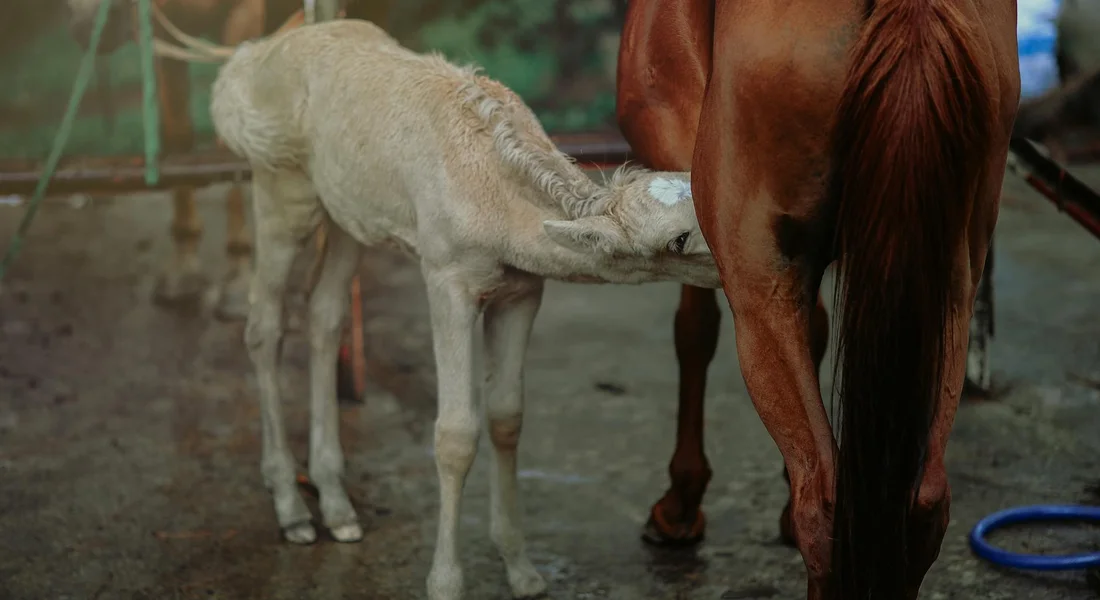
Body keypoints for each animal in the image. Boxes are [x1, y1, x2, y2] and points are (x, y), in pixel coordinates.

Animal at [210, 20, 720, 599]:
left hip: (348, 215)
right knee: (264, 323)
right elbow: (454, 433)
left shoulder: (523, 290)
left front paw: (523, 571)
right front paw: (445, 581)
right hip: (279, 186)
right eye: (678, 239)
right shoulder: (446, 277)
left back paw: (338, 508)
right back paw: (293, 511)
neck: (497, 205)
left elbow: (506, 416)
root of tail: (245, 63)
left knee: (325, 313)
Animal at [618, 1, 1019, 598]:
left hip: (757, 282)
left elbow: (694, 330)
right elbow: (817, 330)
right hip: (950, 286)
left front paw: (680, 504)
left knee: (824, 508)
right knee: (923, 505)